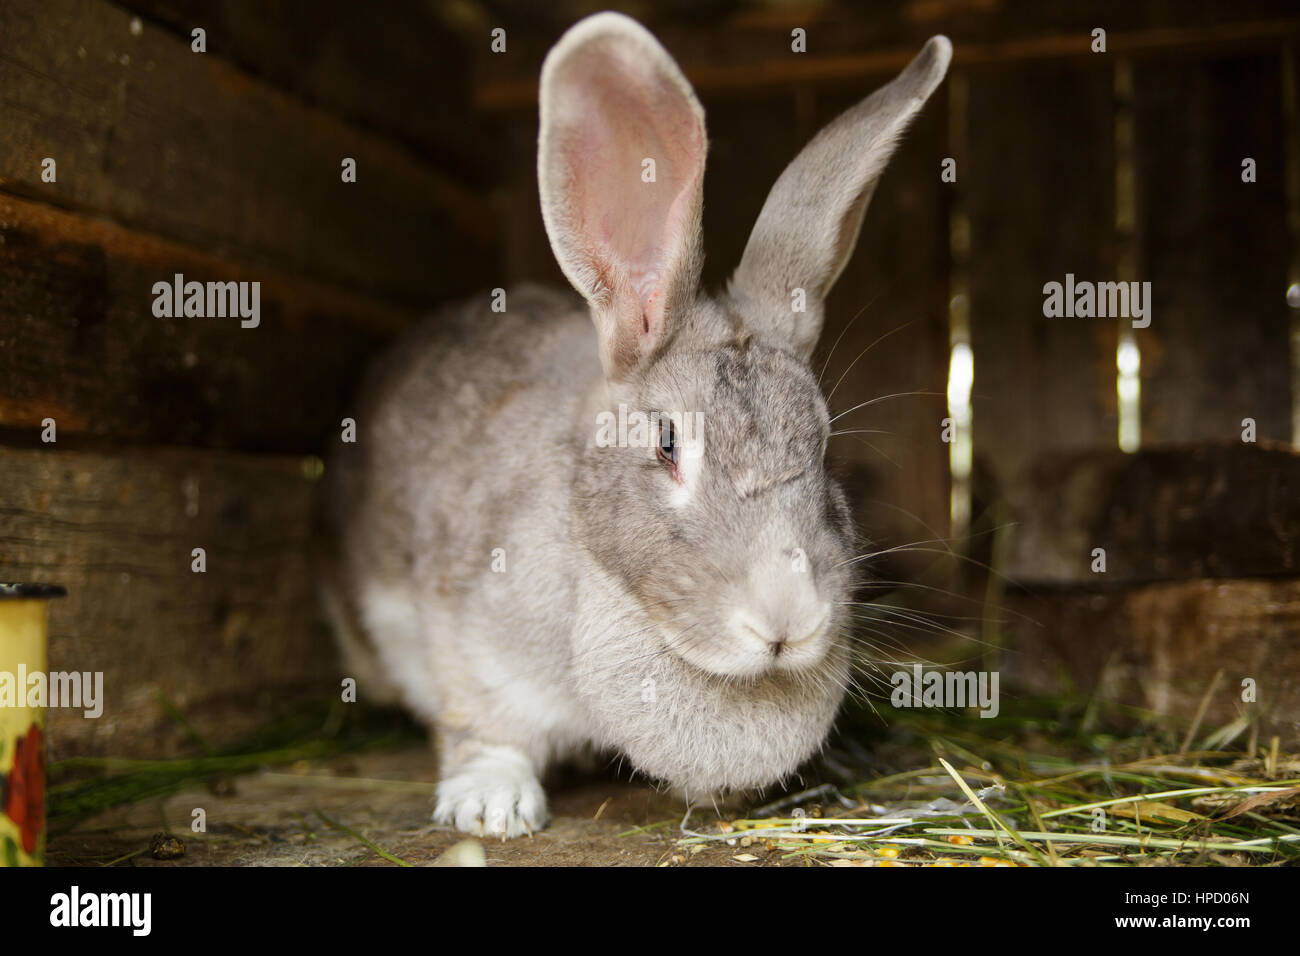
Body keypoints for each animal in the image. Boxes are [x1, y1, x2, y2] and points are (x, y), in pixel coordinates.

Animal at [321, 12, 951, 838]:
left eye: (824, 446)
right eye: (667, 443)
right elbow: (481, 729)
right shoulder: (466, 638)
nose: (786, 621)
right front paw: (491, 808)